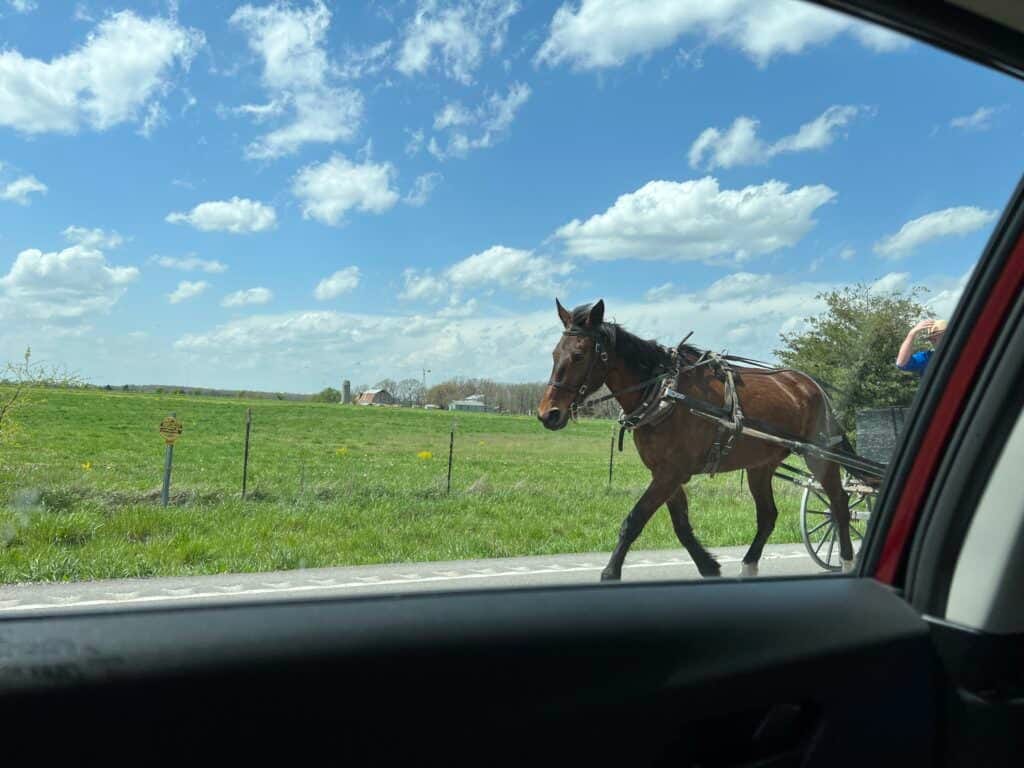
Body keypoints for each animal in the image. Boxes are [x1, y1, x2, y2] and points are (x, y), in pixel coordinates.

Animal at [537, 298, 855, 580]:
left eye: (579, 355)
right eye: (553, 354)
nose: (548, 414)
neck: (665, 392)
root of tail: (812, 386)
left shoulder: (671, 473)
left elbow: (634, 520)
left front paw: (610, 573)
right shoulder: (666, 473)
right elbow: (681, 526)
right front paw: (708, 566)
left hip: (818, 456)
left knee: (839, 503)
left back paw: (847, 561)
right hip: (760, 465)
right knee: (768, 515)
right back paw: (749, 565)